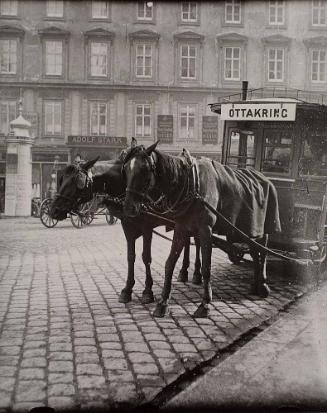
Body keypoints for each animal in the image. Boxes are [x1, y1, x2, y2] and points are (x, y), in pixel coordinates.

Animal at [50, 154, 202, 302]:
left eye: (77, 182)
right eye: (62, 179)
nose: (53, 210)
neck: (126, 183)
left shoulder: (147, 227)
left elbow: (146, 257)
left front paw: (147, 291)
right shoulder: (127, 225)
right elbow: (130, 256)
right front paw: (127, 289)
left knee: (198, 242)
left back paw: (197, 274)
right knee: (187, 242)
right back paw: (184, 272)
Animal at [123, 142, 282, 318]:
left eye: (144, 170)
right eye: (126, 169)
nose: (128, 207)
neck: (191, 183)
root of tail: (264, 177)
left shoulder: (206, 230)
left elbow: (206, 267)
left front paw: (205, 303)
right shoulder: (181, 228)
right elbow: (169, 263)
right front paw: (163, 302)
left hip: (262, 228)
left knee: (263, 252)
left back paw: (263, 284)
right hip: (248, 230)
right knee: (254, 251)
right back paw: (255, 284)